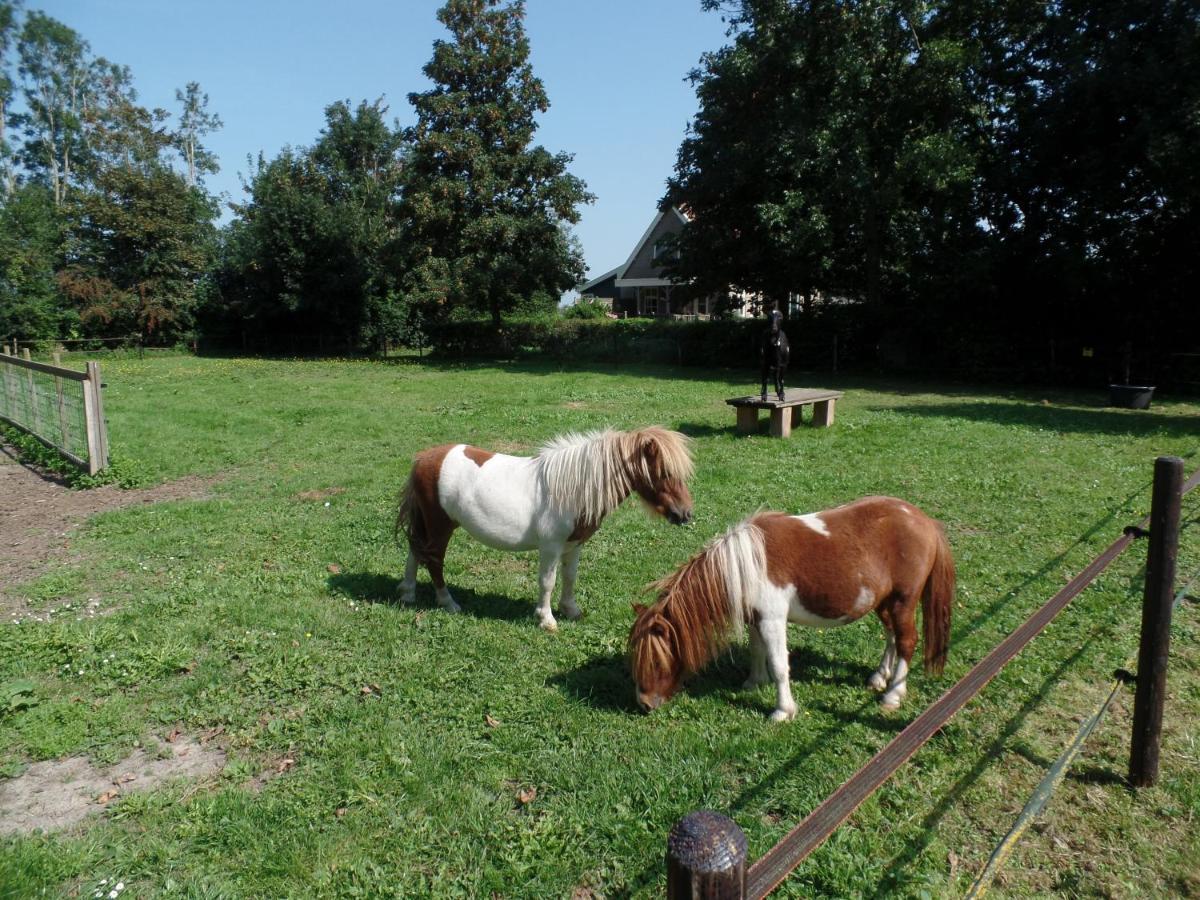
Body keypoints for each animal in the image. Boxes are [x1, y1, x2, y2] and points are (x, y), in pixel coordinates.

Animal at [393, 429, 696, 633]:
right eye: (664, 473)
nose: (685, 514)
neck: (574, 488)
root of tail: (423, 458)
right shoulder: (551, 546)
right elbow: (548, 581)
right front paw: (547, 619)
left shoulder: (575, 544)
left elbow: (570, 576)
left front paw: (571, 610)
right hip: (439, 526)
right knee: (433, 560)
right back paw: (448, 602)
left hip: (426, 524)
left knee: (415, 552)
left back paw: (408, 594)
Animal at [628, 496, 955, 724]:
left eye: (656, 661)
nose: (644, 704)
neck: (745, 564)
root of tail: (925, 521)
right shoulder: (756, 619)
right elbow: (757, 651)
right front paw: (753, 683)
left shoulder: (772, 620)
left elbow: (779, 664)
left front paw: (782, 711)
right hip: (884, 601)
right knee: (891, 636)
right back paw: (879, 677)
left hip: (903, 599)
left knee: (907, 641)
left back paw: (893, 695)